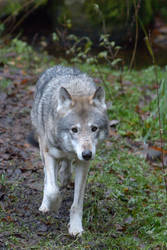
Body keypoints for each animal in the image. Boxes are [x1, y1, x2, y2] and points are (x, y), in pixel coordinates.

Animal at [29, 65, 109, 236]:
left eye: (94, 128)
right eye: (74, 130)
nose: (87, 154)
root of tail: (59, 66)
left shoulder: (83, 164)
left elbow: (77, 203)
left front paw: (75, 227)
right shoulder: (49, 154)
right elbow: (52, 189)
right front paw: (54, 205)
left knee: (65, 171)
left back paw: (65, 176)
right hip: (43, 150)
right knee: (48, 179)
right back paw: (45, 205)